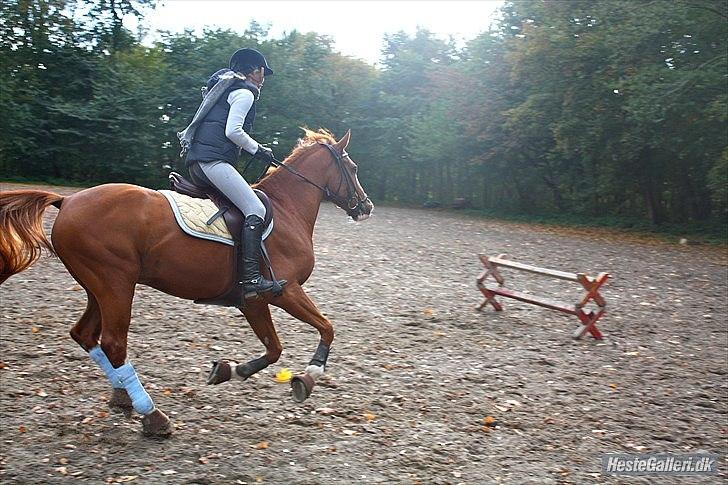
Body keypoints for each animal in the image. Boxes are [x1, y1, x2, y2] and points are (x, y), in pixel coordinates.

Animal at [0, 127, 372, 434]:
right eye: (353, 168)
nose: (366, 207)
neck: (286, 210)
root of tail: (68, 200)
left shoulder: (253, 301)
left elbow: (274, 349)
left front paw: (228, 370)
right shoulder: (281, 292)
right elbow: (325, 329)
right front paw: (309, 376)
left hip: (98, 287)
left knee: (86, 335)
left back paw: (122, 395)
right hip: (115, 284)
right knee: (114, 344)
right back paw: (152, 415)